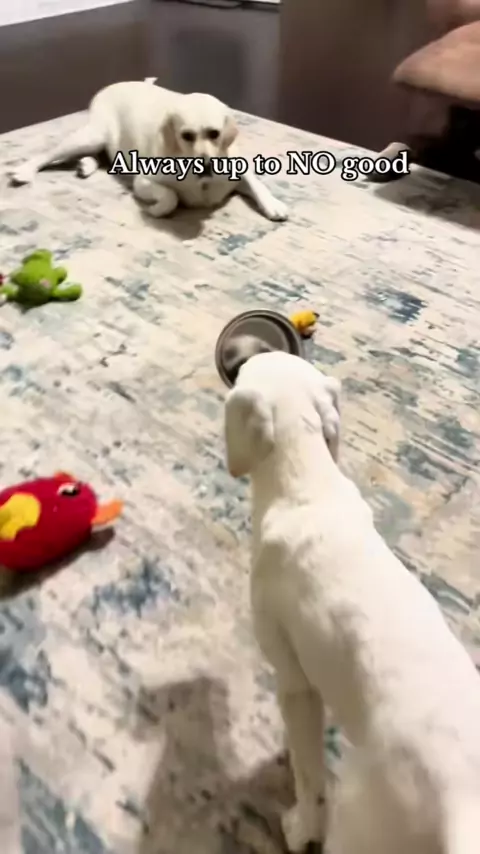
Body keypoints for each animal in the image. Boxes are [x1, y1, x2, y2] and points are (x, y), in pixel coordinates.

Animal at [9, 80, 288, 222]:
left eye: (214, 133)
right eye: (186, 136)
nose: (207, 166)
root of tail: (114, 83)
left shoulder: (237, 169)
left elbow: (258, 184)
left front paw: (274, 205)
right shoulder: (143, 181)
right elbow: (171, 197)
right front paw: (156, 210)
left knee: (100, 155)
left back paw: (86, 165)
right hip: (92, 135)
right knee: (49, 154)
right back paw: (24, 171)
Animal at [224, 350, 480, 854]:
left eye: (244, 369)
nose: (235, 357)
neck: (305, 488)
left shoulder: (294, 680)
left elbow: (308, 774)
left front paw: (301, 826)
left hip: (364, 826)